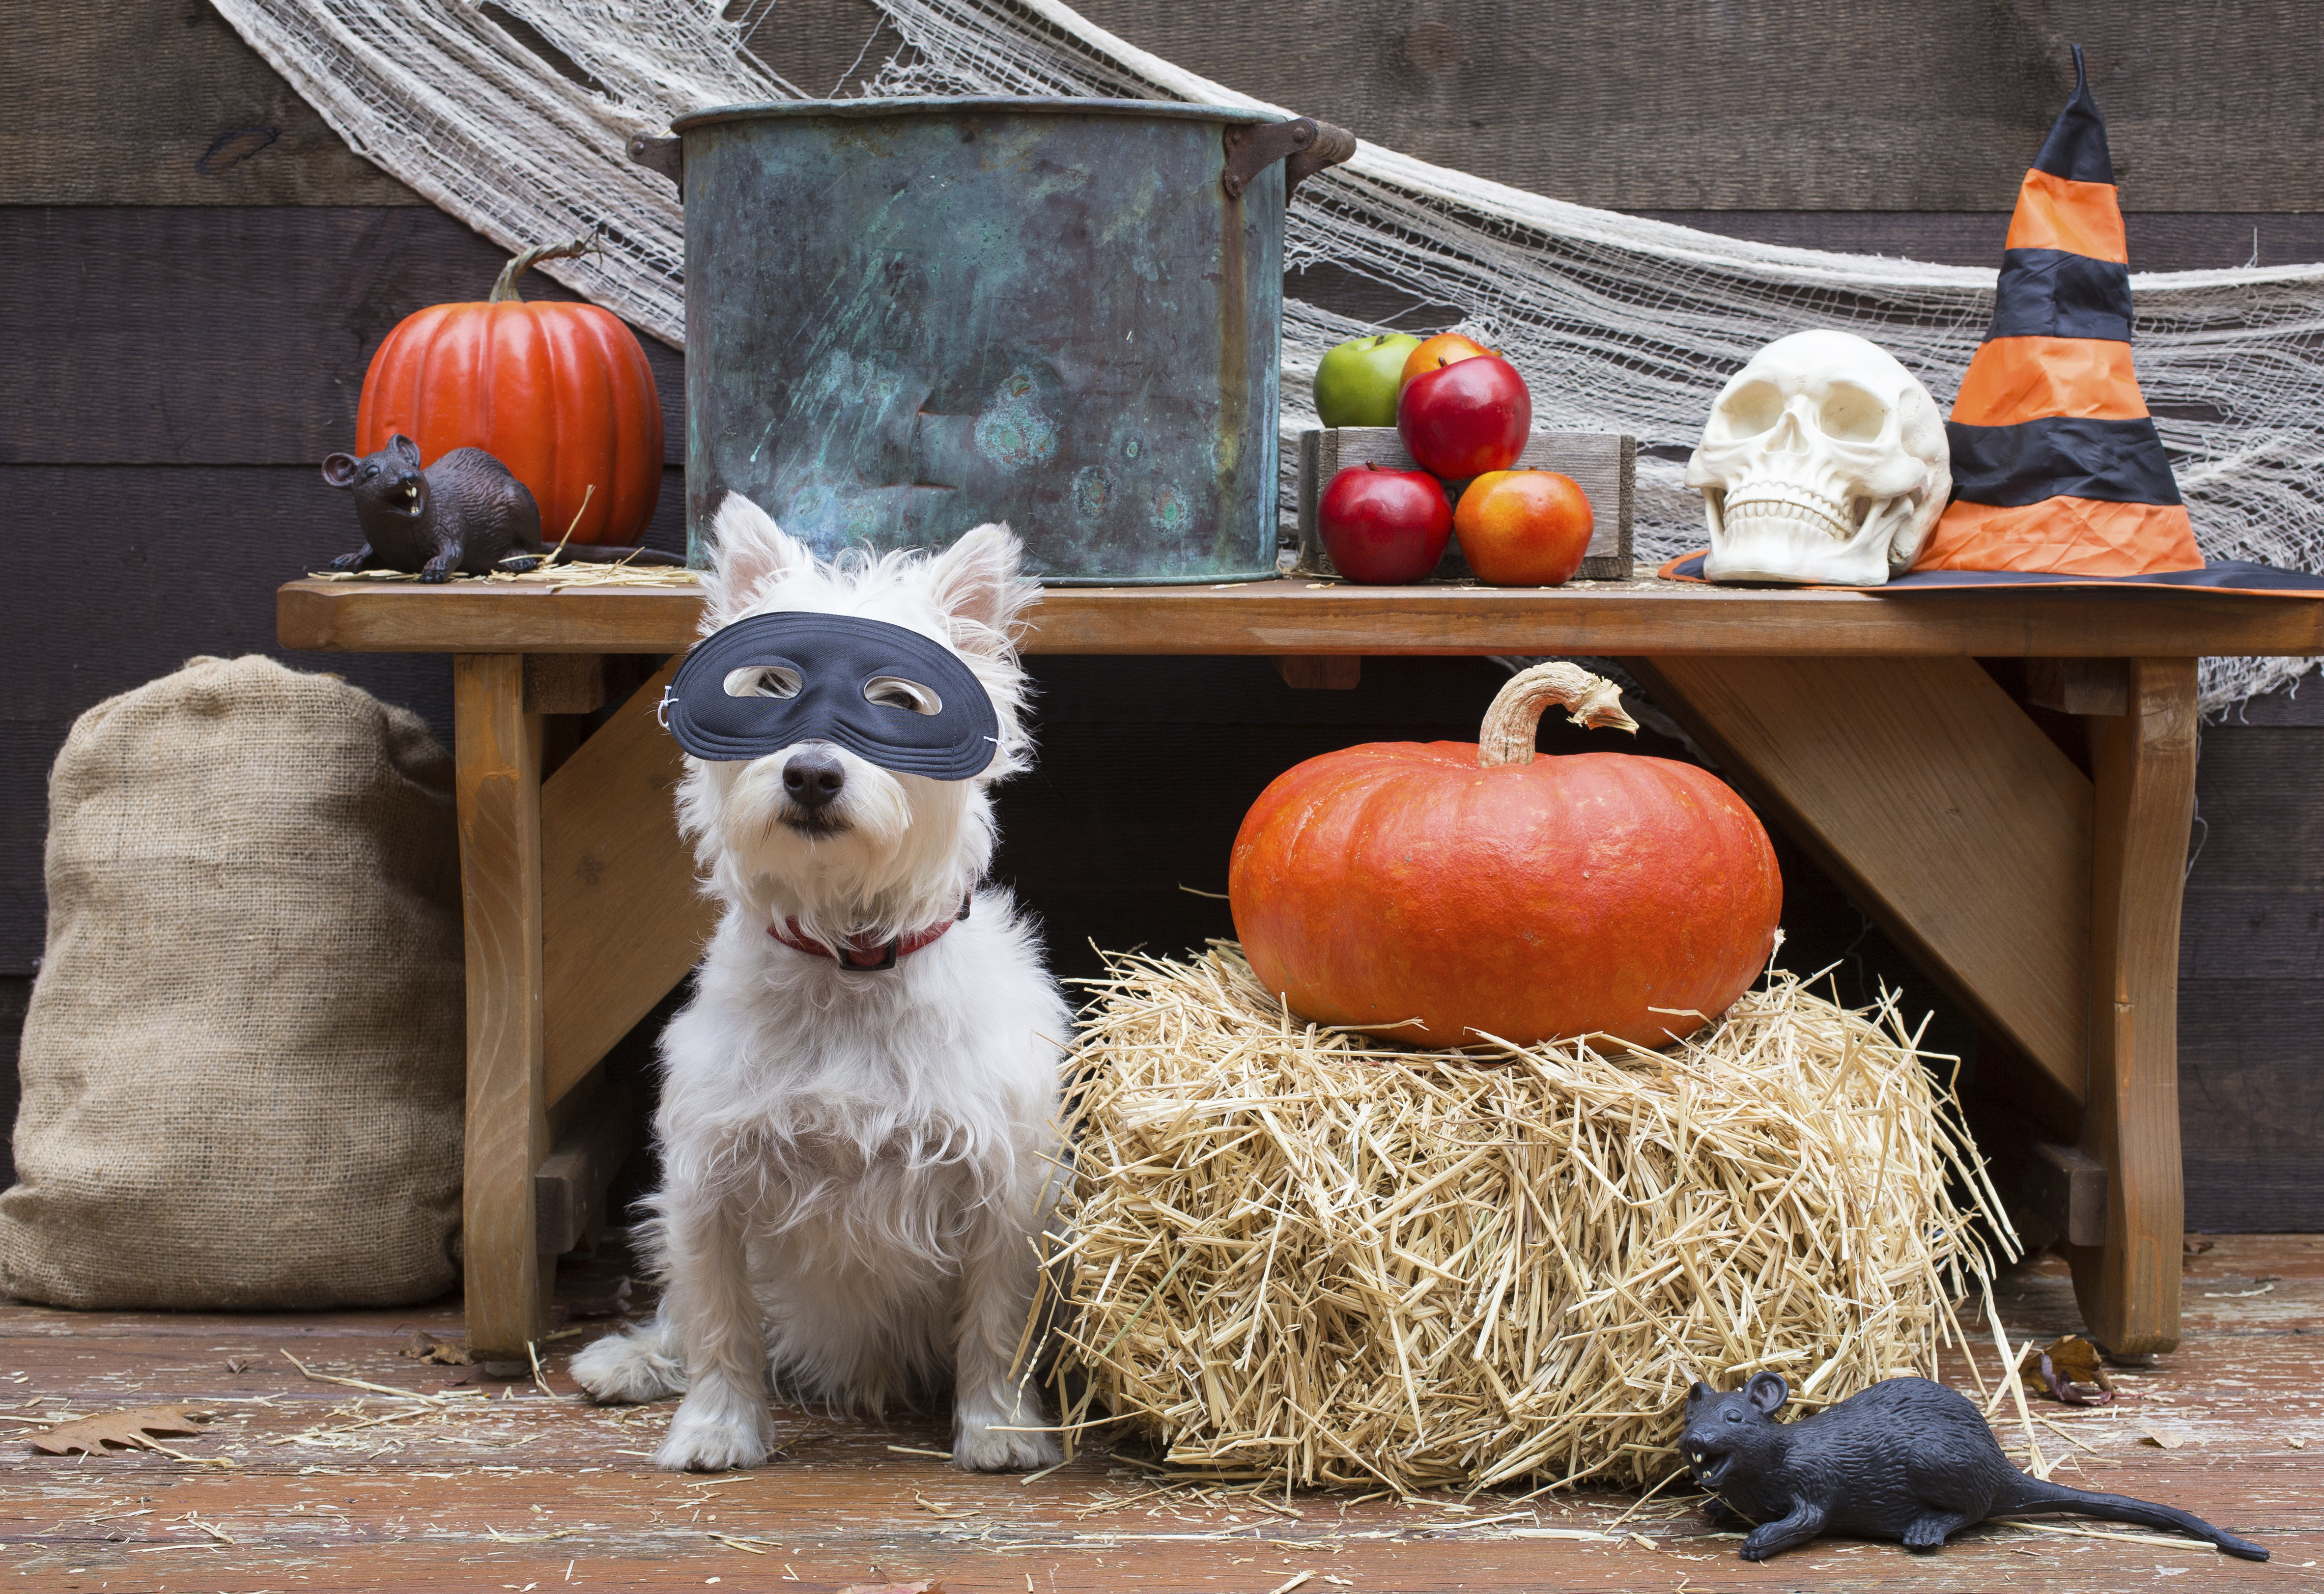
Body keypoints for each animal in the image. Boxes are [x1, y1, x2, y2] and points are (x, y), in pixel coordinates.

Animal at [576, 497, 1064, 1478]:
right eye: (767, 686)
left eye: (899, 703)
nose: (810, 771)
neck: (849, 962)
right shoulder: (709, 1177)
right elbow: (721, 1321)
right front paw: (715, 1430)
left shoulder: (1005, 1182)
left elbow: (999, 1321)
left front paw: (999, 1430)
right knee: (680, 1317)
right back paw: (630, 1360)